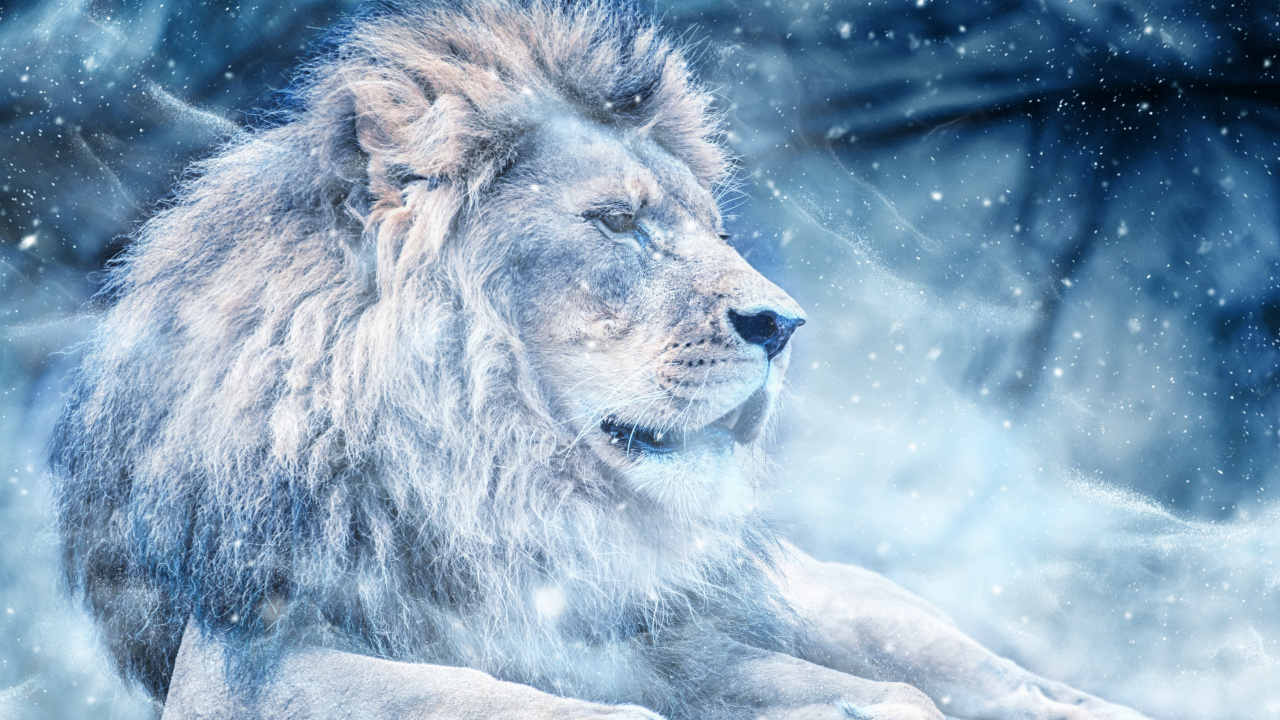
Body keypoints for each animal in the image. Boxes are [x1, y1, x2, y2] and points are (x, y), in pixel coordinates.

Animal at [50, 1, 1151, 719]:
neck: (491, 483)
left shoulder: (669, 637)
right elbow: (505, 702)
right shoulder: (247, 654)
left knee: (1007, 681)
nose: (784, 324)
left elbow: (833, 685)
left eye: (713, 230)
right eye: (617, 224)